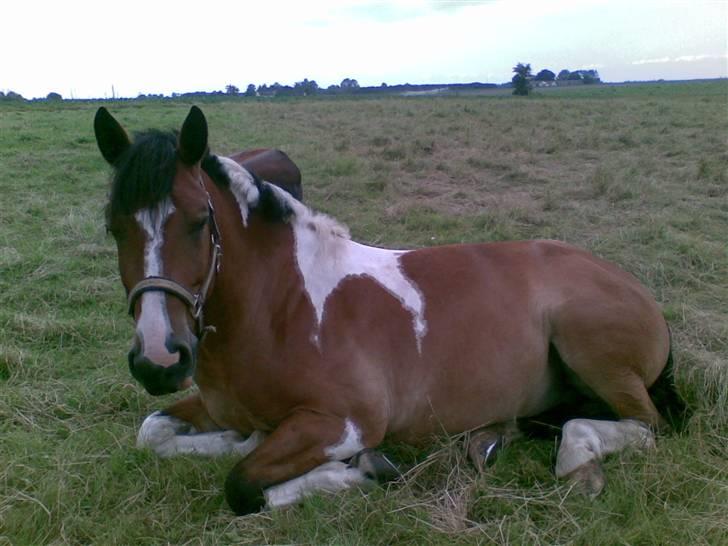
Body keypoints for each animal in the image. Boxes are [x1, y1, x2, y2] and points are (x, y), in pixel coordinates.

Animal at [95, 106, 684, 516]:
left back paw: (580, 460)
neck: (282, 309)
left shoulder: (346, 422)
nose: (158, 359)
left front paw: (356, 473)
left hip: (591, 349)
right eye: (113, 226)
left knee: (644, 426)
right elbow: (153, 432)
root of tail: (626, 281)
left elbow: (241, 485)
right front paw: (239, 438)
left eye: (199, 221)